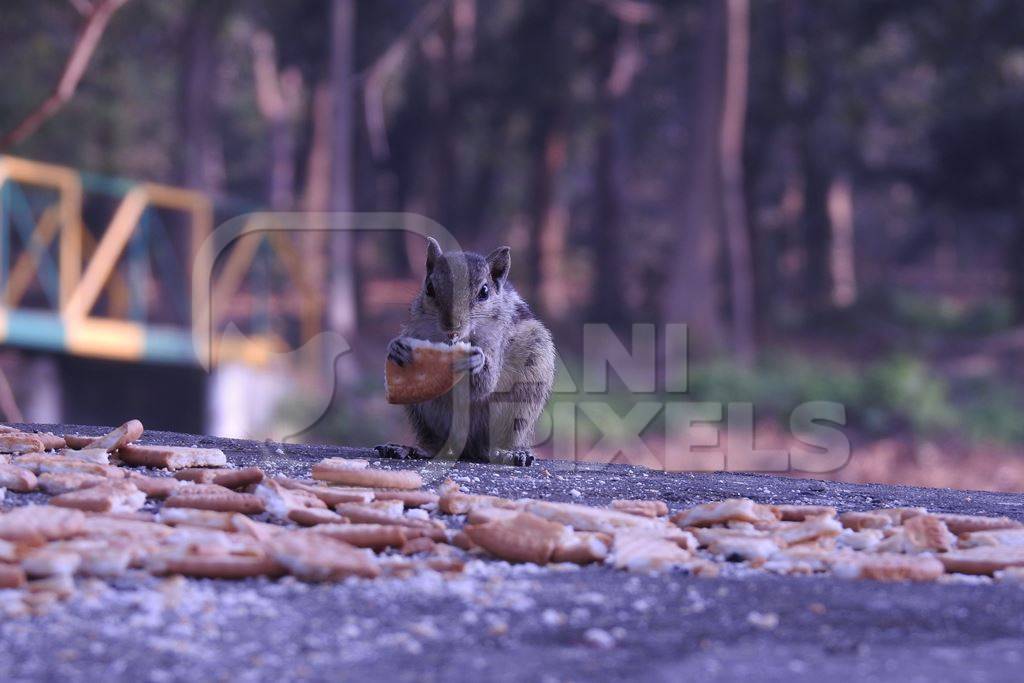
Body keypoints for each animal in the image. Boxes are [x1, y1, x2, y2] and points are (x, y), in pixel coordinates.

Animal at [385, 237, 557, 466]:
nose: (451, 326)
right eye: (429, 287)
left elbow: (486, 383)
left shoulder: (497, 340)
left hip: (521, 406)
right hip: (423, 415)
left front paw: (475, 362)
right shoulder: (417, 328)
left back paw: (509, 453)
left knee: (495, 445)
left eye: (484, 292)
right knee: (434, 442)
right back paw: (413, 449)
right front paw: (397, 348)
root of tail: (466, 447)